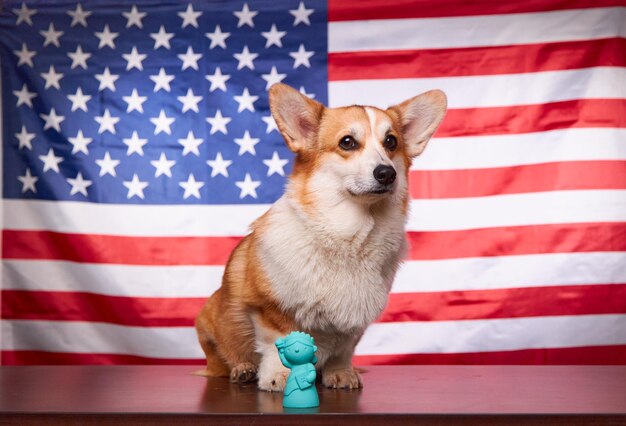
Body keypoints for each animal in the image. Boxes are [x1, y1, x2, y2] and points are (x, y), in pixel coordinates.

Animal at [195, 82, 444, 390]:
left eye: (391, 142)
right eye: (347, 142)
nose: (387, 173)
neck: (348, 234)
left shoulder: (353, 320)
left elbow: (343, 348)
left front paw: (340, 373)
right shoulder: (270, 308)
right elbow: (279, 340)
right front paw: (280, 376)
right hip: (208, 321)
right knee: (221, 361)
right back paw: (243, 369)